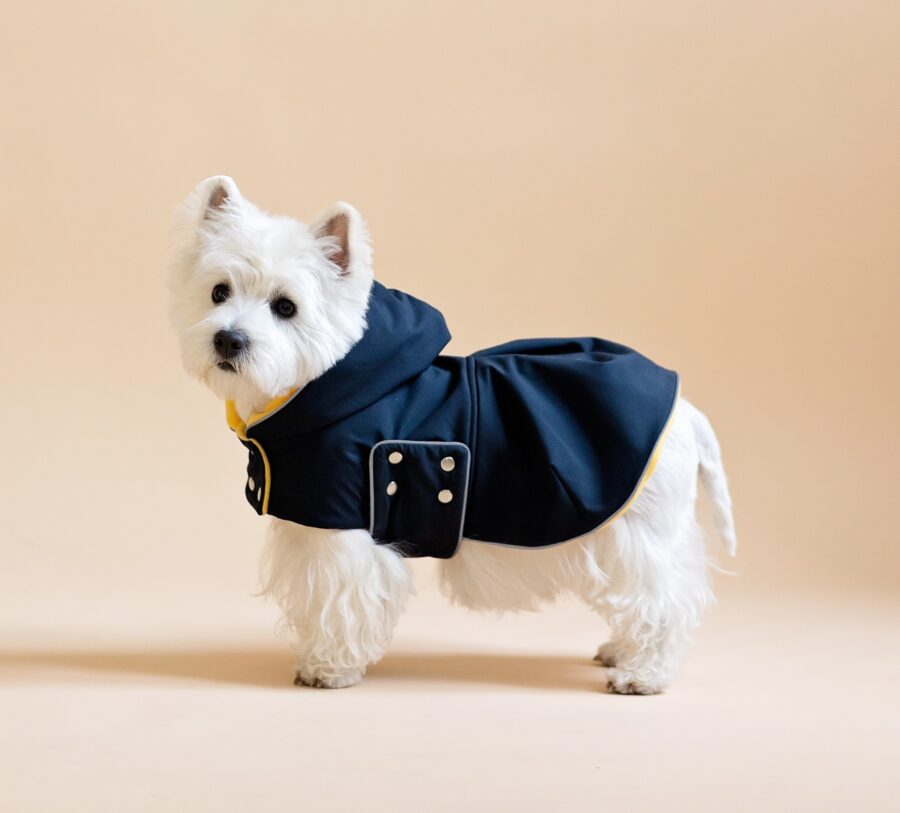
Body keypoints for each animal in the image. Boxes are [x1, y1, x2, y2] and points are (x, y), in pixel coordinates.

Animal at [169, 176, 740, 692]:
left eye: (286, 306)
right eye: (218, 292)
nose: (229, 339)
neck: (319, 388)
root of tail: (687, 412)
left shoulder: (343, 528)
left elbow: (340, 603)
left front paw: (327, 669)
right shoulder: (308, 523)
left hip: (641, 531)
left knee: (666, 599)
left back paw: (643, 674)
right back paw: (619, 651)